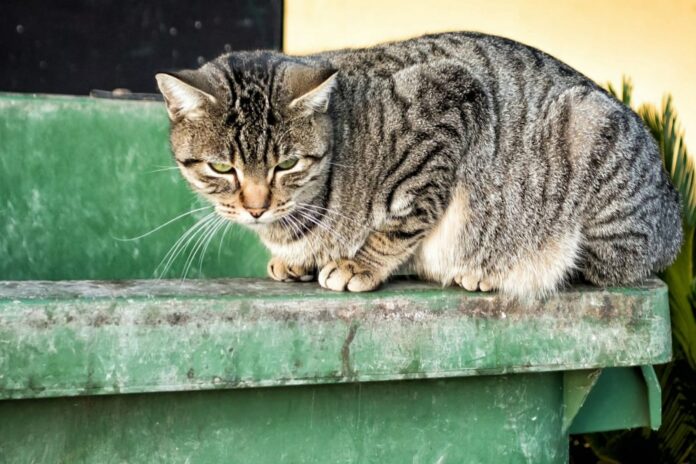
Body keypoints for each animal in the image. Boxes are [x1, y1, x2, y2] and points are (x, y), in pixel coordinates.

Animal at [155, 32, 684, 300]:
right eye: (221, 168)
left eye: (286, 163)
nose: (256, 207)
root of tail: (676, 217)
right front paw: (297, 261)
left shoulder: (446, 103)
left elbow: (402, 221)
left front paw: (359, 263)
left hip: (590, 134)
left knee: (591, 267)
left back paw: (496, 272)